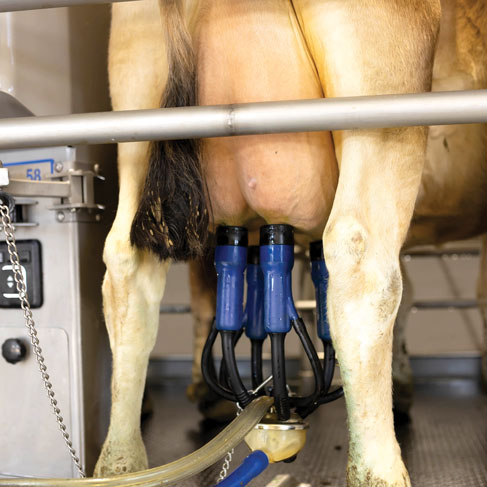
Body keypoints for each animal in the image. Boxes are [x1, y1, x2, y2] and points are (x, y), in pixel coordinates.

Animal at [94, 1, 487, 486]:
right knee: (362, 261)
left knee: (129, 265)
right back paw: (379, 469)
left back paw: (120, 461)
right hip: (383, 100)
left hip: (136, 106)